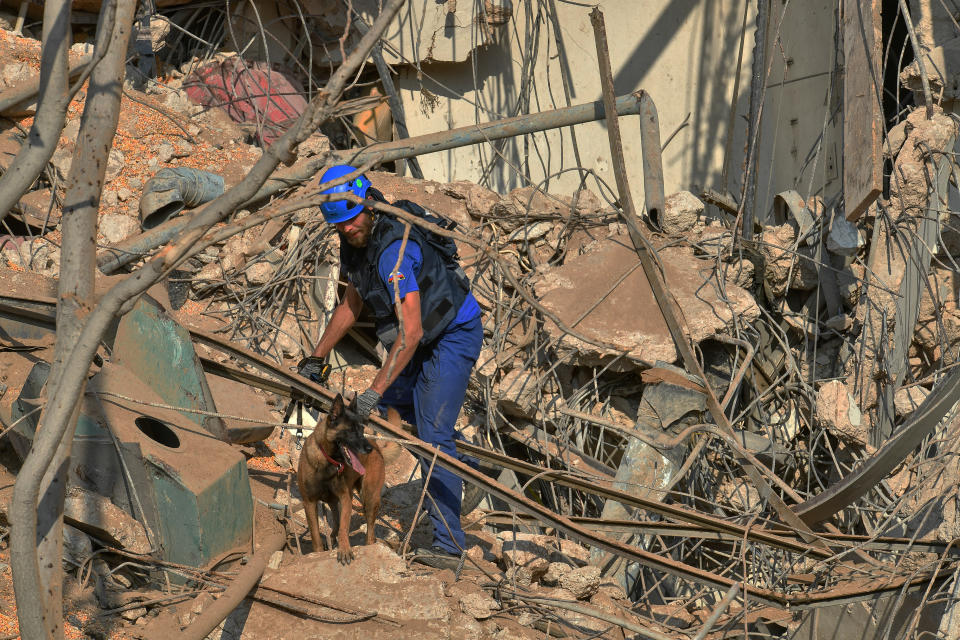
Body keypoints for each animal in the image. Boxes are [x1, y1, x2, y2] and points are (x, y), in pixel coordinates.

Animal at [296, 392, 382, 564]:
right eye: (351, 430)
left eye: (362, 429)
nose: (369, 449)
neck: (327, 460)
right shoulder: (309, 502)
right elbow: (315, 535)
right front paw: (319, 552)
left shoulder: (345, 498)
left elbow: (344, 527)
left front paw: (344, 550)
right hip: (333, 502)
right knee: (335, 522)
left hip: (370, 499)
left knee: (370, 533)